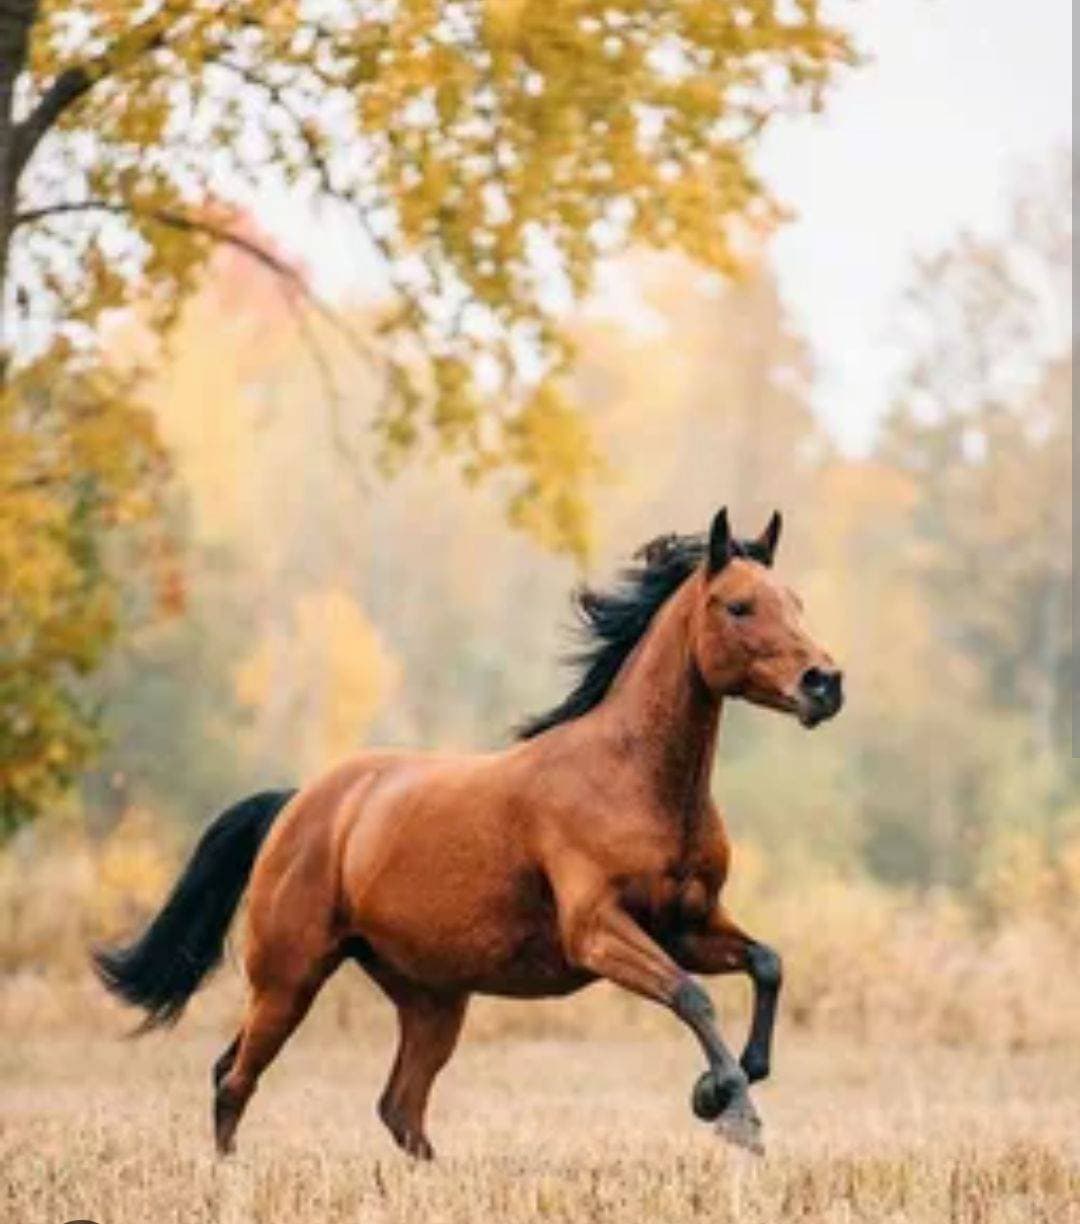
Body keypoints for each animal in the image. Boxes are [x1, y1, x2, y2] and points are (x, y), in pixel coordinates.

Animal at [95, 506, 843, 1158]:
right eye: (738, 606)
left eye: (798, 602)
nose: (825, 684)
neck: (634, 780)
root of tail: (298, 803)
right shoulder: (598, 930)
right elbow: (692, 994)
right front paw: (732, 1110)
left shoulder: (686, 925)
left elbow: (767, 964)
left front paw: (727, 1082)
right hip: (288, 979)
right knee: (235, 1079)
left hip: (431, 1000)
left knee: (397, 1106)